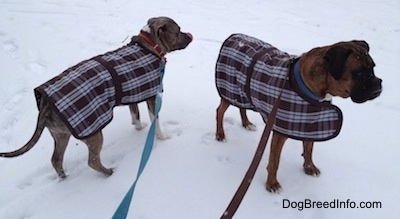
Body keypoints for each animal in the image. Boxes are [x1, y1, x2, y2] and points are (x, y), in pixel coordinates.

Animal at [0, 17, 194, 178]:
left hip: (60, 134)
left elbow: (135, 113)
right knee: (92, 160)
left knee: (56, 159)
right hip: (93, 133)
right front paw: (162, 138)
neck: (149, 46)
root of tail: (46, 103)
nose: (190, 34)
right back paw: (109, 173)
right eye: (178, 31)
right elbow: (156, 120)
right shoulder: (152, 97)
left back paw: (64, 178)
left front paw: (138, 126)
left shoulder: (133, 92)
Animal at [216, 33, 382, 192]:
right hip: (229, 89)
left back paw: (246, 123)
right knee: (219, 112)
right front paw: (272, 184)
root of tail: (234, 36)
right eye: (359, 74)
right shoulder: (280, 133)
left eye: (373, 67)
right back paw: (220, 134)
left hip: (242, 92)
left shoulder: (310, 122)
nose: (378, 84)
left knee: (241, 106)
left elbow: (309, 149)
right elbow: (274, 161)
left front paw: (309, 167)